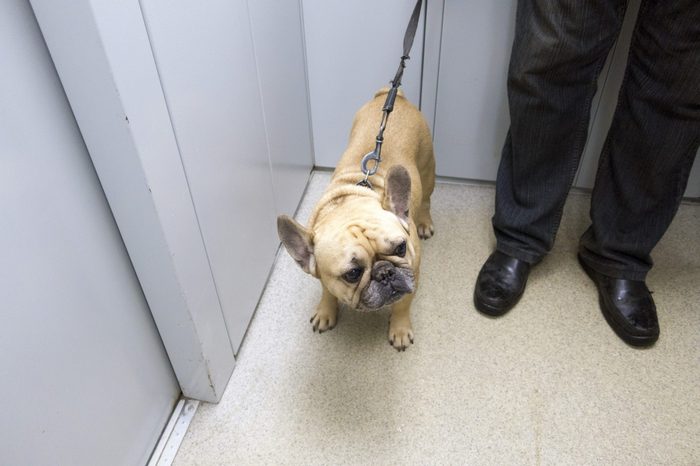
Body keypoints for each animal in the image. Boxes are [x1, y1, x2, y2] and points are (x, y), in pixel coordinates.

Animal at [278, 88, 432, 350]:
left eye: (401, 248)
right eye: (352, 274)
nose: (385, 272)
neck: (349, 204)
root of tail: (394, 95)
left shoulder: (413, 275)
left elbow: (402, 304)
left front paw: (400, 329)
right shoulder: (325, 276)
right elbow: (327, 291)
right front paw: (326, 311)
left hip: (428, 168)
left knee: (427, 199)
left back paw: (425, 222)